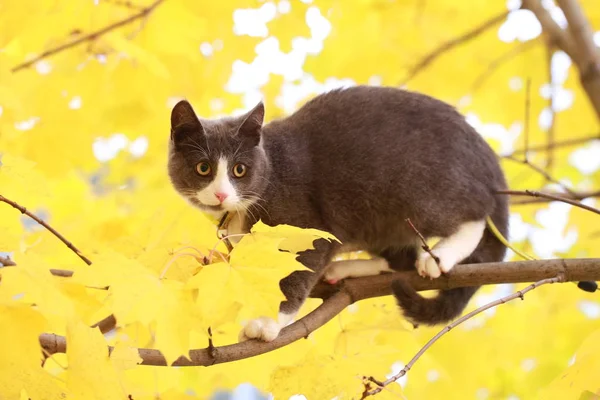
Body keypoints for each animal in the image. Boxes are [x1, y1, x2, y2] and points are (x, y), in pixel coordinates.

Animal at [166, 86, 508, 342]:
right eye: (203, 168)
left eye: (239, 170)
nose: (221, 194)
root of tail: (488, 157)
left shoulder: (309, 226)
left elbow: (296, 273)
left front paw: (266, 323)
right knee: (400, 258)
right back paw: (345, 269)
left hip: (418, 189)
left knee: (474, 214)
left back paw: (438, 256)